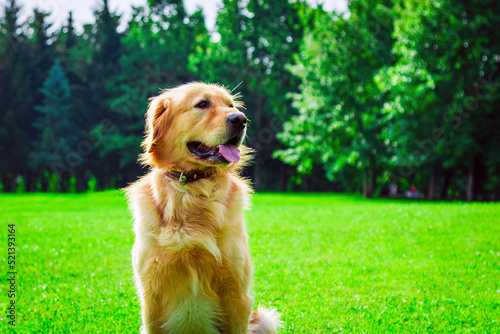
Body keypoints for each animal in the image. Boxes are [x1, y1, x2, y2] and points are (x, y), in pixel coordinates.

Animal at [125, 81, 282, 334]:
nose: (241, 119)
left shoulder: (236, 293)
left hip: (263, 318)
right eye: (202, 104)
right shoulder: (151, 297)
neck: (193, 189)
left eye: (230, 105)